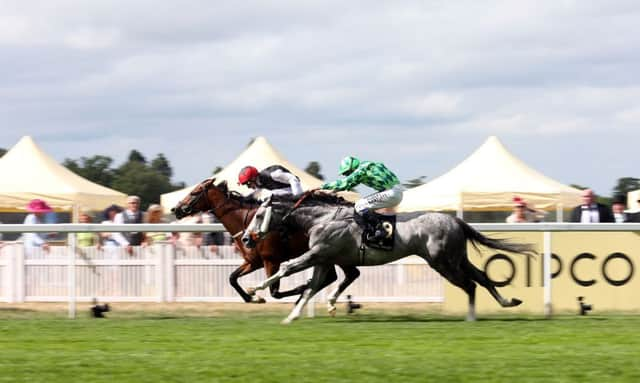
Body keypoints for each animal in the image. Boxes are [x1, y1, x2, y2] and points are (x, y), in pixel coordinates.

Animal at [171, 178, 360, 308]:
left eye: (195, 192)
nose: (176, 209)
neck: (246, 222)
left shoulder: (271, 260)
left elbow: (275, 292)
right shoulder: (253, 262)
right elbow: (232, 278)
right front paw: (253, 298)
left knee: (343, 275)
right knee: (341, 276)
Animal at [242, 195, 536, 324]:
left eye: (259, 215)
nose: (245, 239)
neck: (322, 219)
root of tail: (455, 220)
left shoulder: (318, 253)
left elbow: (288, 268)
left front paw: (255, 289)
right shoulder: (324, 259)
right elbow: (311, 288)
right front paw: (291, 316)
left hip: (442, 262)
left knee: (470, 284)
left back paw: (472, 317)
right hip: (455, 258)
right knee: (482, 277)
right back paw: (508, 302)